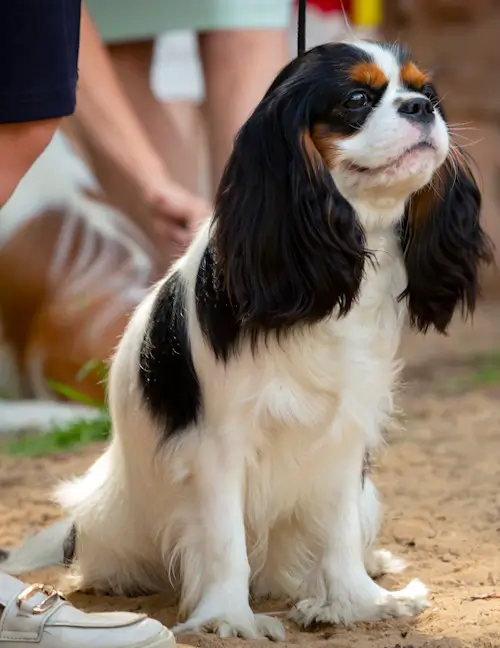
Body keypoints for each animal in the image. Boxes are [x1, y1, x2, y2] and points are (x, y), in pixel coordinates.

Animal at [0, 40, 492, 636]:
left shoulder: (344, 436)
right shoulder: (219, 445)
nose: (421, 108)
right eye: (356, 99)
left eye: (427, 93)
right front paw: (231, 618)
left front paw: (357, 601)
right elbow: (225, 540)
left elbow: (339, 529)